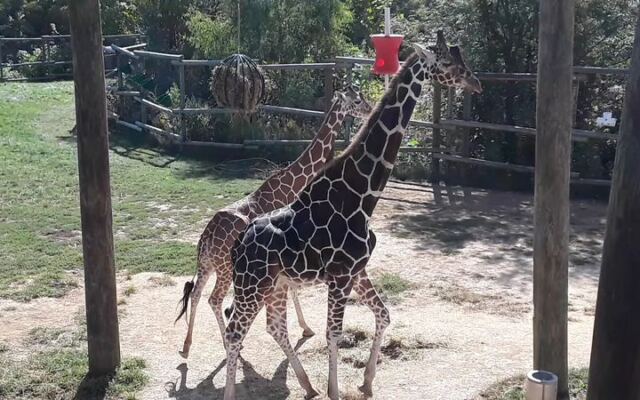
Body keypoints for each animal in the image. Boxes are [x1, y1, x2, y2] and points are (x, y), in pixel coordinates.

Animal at [176, 87, 372, 358]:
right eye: (357, 100)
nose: (370, 109)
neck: (293, 183)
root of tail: (205, 238)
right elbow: (292, 290)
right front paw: (306, 328)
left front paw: (304, 327)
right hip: (224, 267)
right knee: (213, 299)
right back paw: (229, 346)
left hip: (206, 265)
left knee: (195, 294)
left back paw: (187, 346)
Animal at [222, 31, 482, 400]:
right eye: (447, 63)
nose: (475, 83)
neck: (362, 196)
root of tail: (238, 243)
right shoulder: (341, 275)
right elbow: (334, 334)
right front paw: (336, 390)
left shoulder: (359, 270)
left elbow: (384, 315)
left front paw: (367, 381)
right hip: (252, 284)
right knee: (235, 331)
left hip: (274, 284)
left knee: (273, 326)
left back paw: (307, 385)